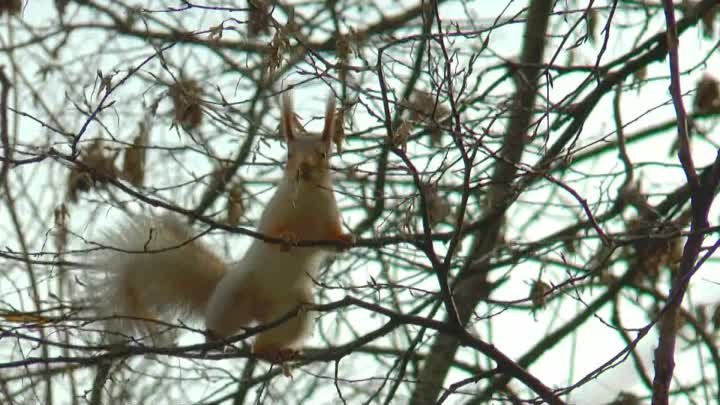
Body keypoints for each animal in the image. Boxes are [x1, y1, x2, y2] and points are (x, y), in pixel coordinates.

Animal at [90, 91, 352, 360]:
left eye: (324, 154)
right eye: (289, 155)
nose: (304, 168)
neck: (307, 197)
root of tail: (259, 312)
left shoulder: (327, 216)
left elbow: (330, 241)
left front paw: (345, 239)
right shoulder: (273, 214)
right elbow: (271, 233)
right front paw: (287, 237)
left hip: (295, 312)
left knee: (265, 341)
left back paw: (272, 351)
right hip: (234, 293)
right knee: (221, 322)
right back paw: (214, 339)